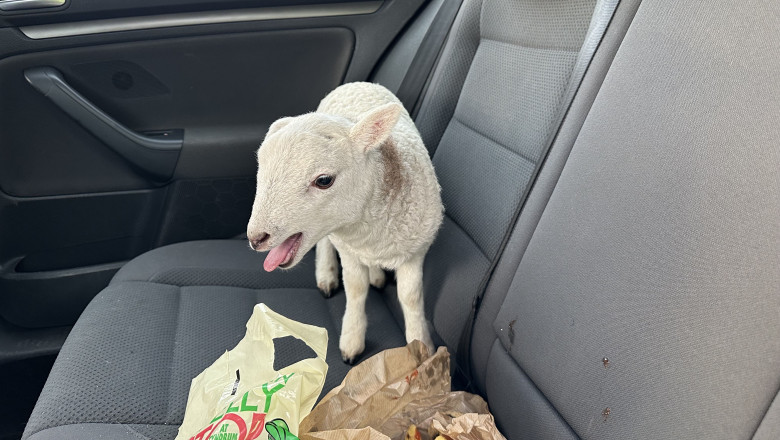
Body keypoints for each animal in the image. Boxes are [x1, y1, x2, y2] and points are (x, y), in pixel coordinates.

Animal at [246, 82, 443, 363]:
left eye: (324, 180)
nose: (256, 238)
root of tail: (358, 83)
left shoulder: (415, 250)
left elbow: (411, 297)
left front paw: (421, 346)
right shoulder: (348, 249)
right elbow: (356, 288)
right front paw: (352, 339)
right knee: (326, 243)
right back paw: (327, 273)